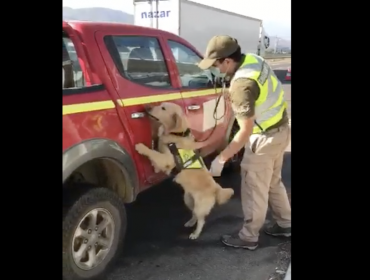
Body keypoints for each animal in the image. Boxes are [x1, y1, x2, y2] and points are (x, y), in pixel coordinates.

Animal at [135, 101, 234, 240]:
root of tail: (216, 188)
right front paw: (155, 167)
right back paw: (190, 222)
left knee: (201, 220)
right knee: (194, 214)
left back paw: (195, 233)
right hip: (188, 199)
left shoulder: (167, 159)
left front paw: (141, 147)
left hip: (199, 206)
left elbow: (154, 153)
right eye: (160, 105)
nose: (147, 107)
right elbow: (156, 155)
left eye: (163, 108)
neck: (176, 134)